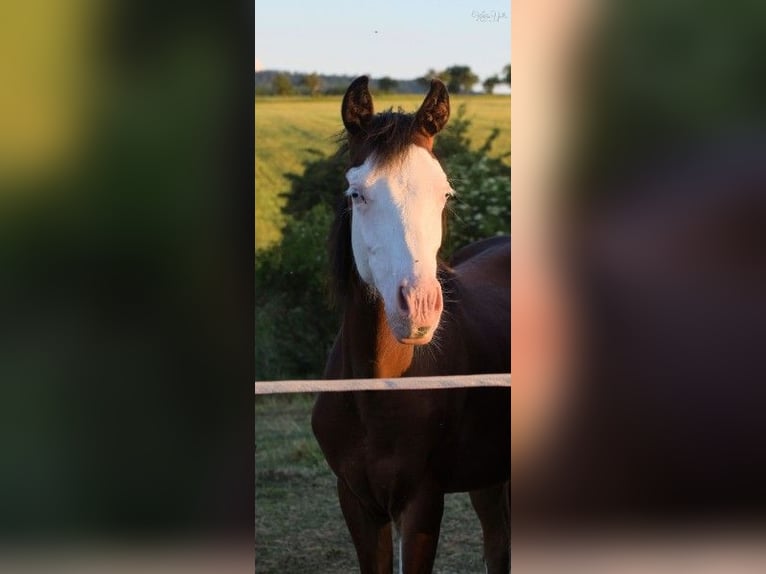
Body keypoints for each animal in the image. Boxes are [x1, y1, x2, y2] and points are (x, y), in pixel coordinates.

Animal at [308, 77, 512, 574]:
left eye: (445, 194)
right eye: (357, 194)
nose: (418, 306)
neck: (382, 389)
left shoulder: (422, 503)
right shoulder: (358, 505)